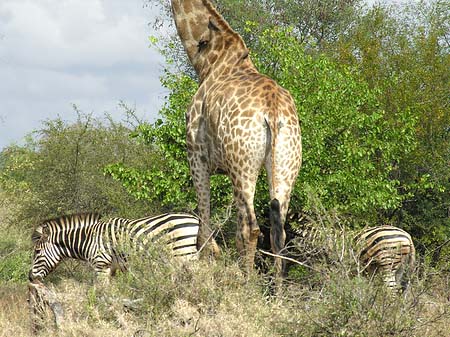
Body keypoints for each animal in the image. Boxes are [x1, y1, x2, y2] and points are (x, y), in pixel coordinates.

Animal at [29, 213, 202, 280]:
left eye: (37, 252)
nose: (30, 277)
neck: (89, 239)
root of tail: (194, 218)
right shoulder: (112, 269)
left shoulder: (101, 265)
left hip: (184, 254)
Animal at [172, 0, 302, 272]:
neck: (207, 59)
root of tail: (272, 111)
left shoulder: (196, 156)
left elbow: (203, 229)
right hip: (286, 163)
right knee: (278, 230)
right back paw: (275, 286)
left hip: (242, 165)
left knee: (251, 229)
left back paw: (249, 281)